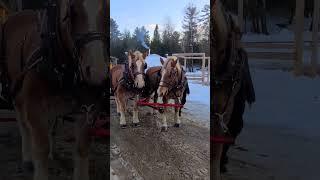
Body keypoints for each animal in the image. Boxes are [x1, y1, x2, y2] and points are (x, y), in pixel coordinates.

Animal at [0, 0, 108, 179]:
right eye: (72, 11)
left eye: (107, 10)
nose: (97, 72)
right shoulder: (34, 107)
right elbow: (40, 149)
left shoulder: (89, 108)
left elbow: (82, 147)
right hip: (16, 92)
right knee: (23, 124)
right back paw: (27, 157)